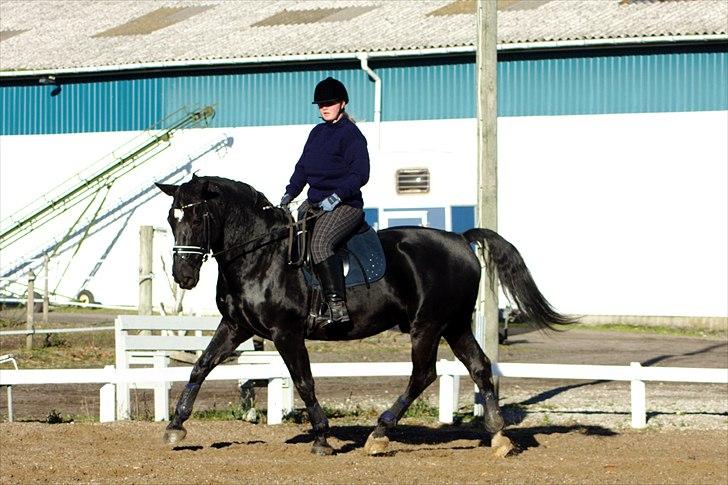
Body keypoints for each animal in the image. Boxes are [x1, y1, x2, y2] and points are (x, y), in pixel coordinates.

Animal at [155, 176, 576, 456]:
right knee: (479, 366)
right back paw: (499, 436)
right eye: (172, 220)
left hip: (428, 325)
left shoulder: (285, 333)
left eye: (197, 218)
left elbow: (304, 382)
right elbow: (201, 366)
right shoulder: (237, 326)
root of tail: (459, 239)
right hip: (454, 325)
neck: (260, 255)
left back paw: (381, 433)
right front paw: (176, 427)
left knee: (423, 374)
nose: (182, 277)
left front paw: (322, 438)